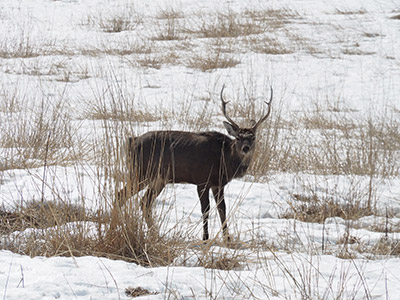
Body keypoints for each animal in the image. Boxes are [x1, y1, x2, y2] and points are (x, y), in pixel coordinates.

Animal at [112, 84, 274, 241]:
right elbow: (205, 210)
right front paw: (205, 238)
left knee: (144, 202)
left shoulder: (218, 184)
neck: (224, 158)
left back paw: (154, 234)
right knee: (121, 195)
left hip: (158, 178)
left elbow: (222, 209)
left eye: (253, 138)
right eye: (238, 137)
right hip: (140, 172)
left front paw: (227, 239)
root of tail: (131, 141)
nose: (246, 148)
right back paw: (116, 227)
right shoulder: (202, 179)